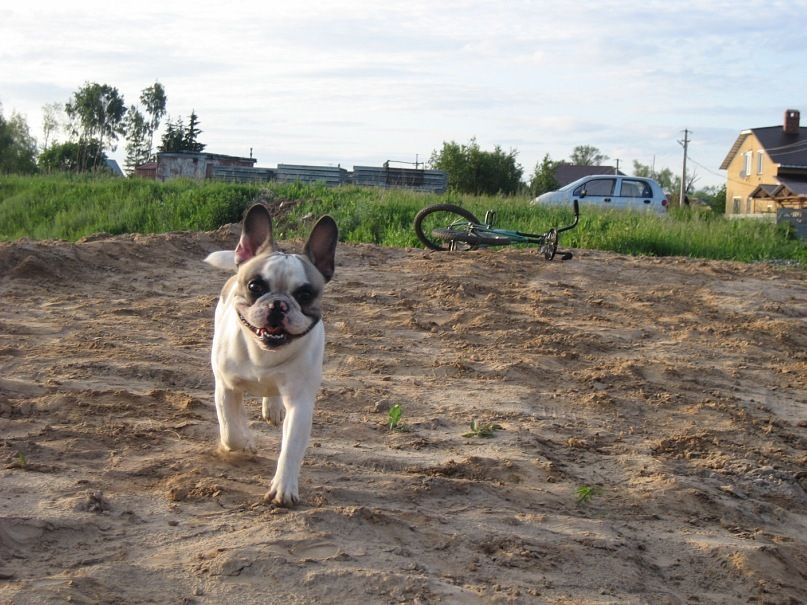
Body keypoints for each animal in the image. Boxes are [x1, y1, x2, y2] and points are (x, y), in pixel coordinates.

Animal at [205, 205, 338, 508]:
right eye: (255, 286)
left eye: (305, 294)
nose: (278, 304)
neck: (263, 353)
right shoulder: (226, 387)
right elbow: (230, 429)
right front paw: (245, 442)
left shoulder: (300, 403)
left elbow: (290, 448)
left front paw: (283, 488)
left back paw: (273, 407)